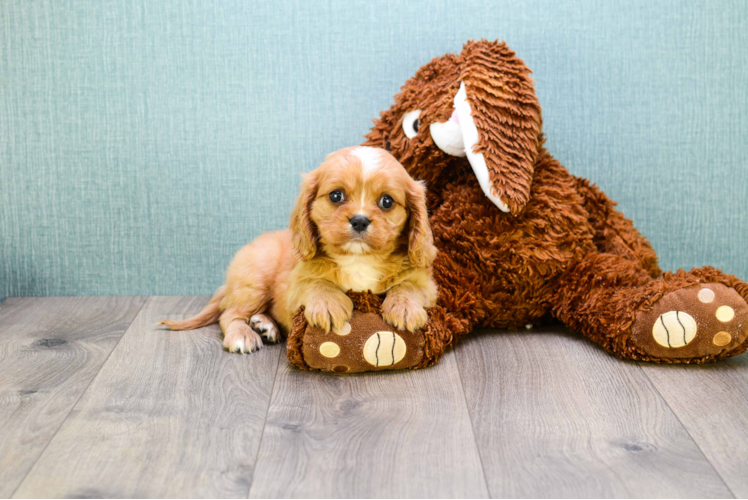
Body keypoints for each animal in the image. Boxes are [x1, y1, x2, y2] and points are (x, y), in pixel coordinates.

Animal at [159, 146, 438, 354]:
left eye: (387, 201)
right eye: (336, 196)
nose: (359, 220)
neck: (358, 259)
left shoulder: (428, 284)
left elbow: (409, 286)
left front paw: (404, 308)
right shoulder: (294, 284)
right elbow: (316, 283)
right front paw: (328, 304)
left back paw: (265, 325)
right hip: (255, 278)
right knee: (229, 314)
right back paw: (244, 334)